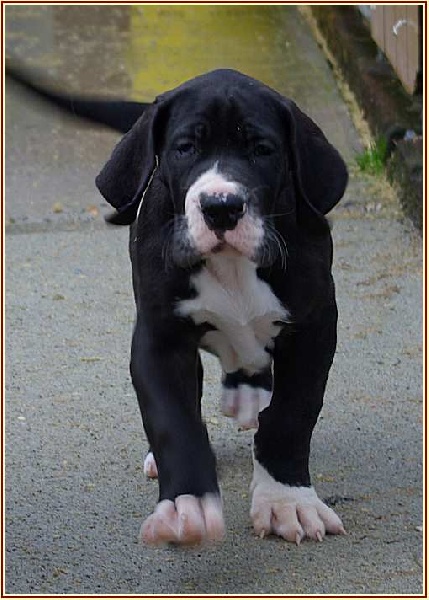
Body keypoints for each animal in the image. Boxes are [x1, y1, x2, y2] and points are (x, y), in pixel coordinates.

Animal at [9, 65, 348, 545]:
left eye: (262, 150)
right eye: (185, 149)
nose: (221, 207)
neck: (230, 266)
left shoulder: (315, 328)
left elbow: (292, 414)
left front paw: (288, 501)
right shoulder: (159, 341)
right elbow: (173, 420)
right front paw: (187, 505)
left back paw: (249, 391)